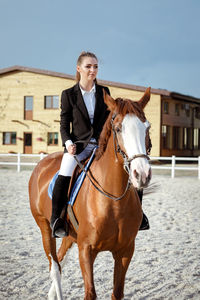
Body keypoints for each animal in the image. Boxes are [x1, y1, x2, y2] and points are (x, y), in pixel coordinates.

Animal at [28, 87, 152, 300]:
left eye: (147, 127)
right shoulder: (86, 250)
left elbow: (117, 293)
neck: (113, 201)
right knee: (55, 267)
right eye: (118, 129)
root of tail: (41, 165)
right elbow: (90, 293)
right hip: (44, 227)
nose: (142, 174)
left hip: (70, 235)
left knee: (60, 261)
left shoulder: (126, 250)